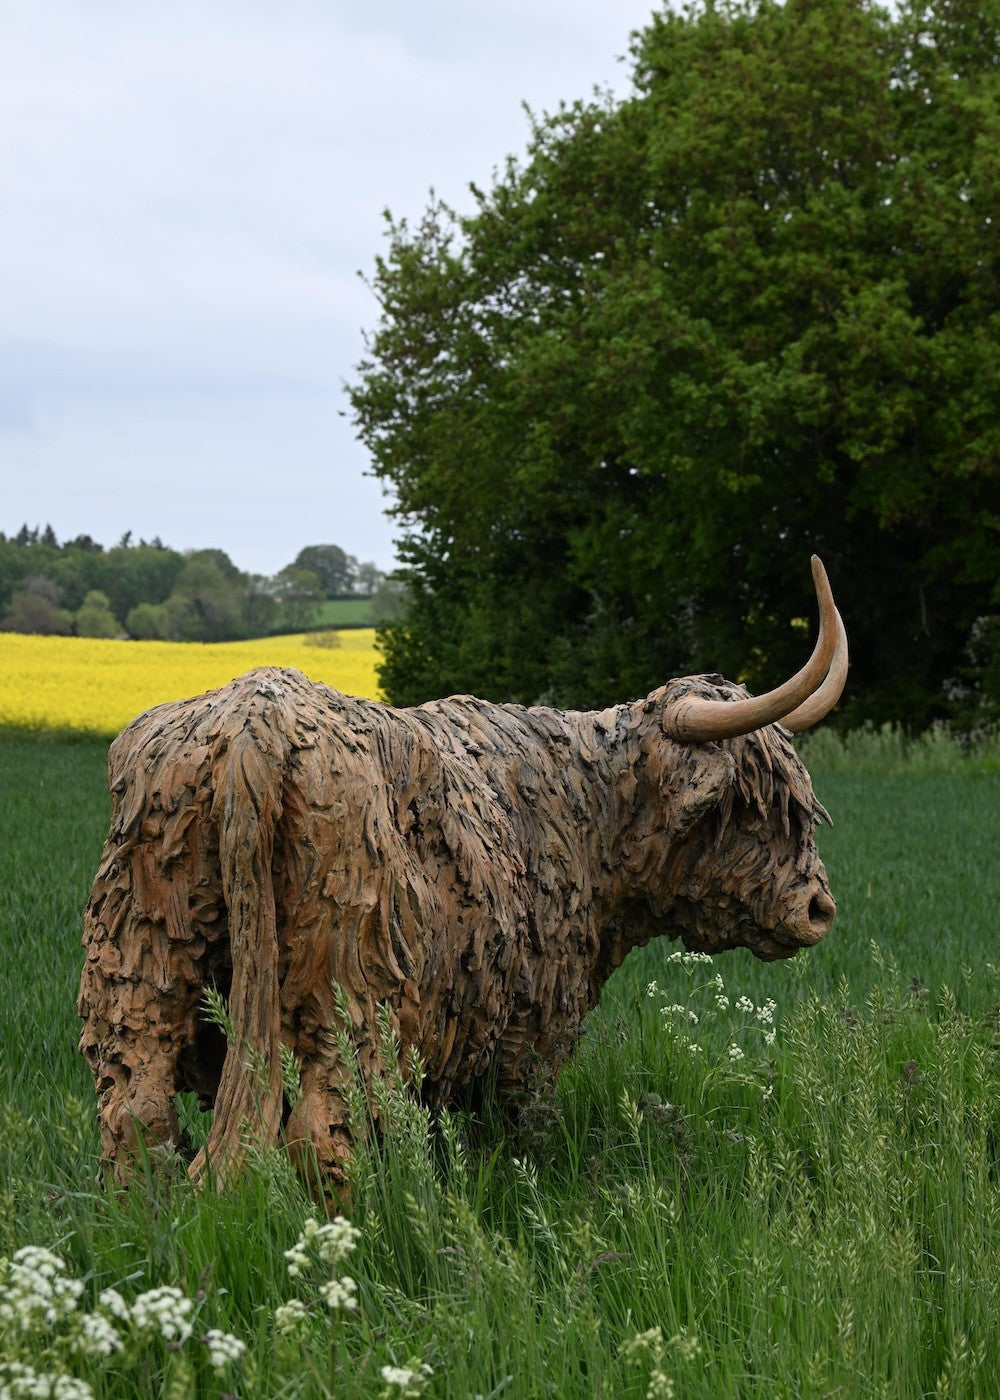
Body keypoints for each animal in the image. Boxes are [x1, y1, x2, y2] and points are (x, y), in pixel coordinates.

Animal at [79, 556, 847, 1190]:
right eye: (753, 811)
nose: (819, 909)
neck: (589, 808)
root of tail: (253, 725)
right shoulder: (533, 1020)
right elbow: (522, 1121)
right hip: (352, 982)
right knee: (326, 1131)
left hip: (143, 954)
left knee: (136, 1110)